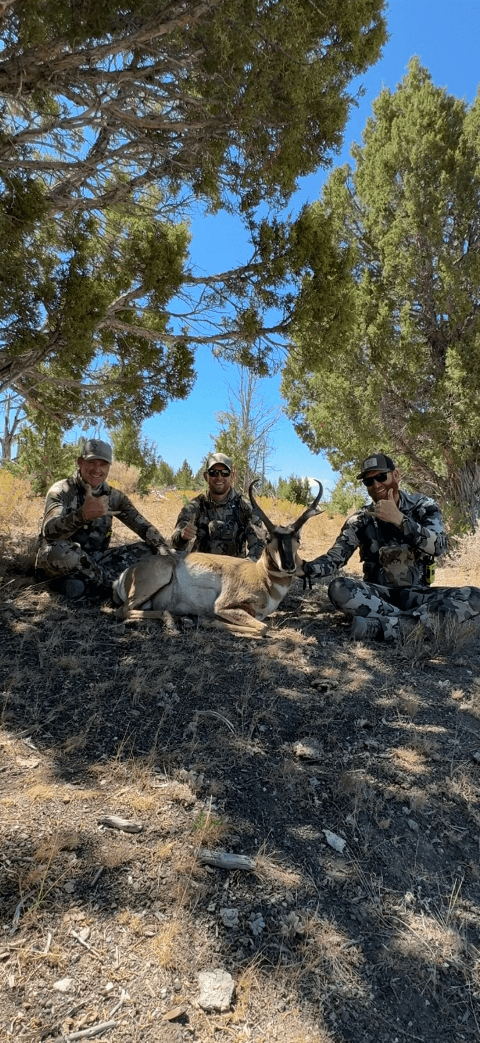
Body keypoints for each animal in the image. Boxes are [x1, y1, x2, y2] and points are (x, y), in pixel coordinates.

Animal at [112, 481, 323, 637]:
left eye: (297, 539)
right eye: (269, 539)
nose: (289, 565)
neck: (261, 576)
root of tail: (125, 574)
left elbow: (263, 625)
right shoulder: (223, 606)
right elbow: (263, 628)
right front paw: (208, 621)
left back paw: (178, 619)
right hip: (159, 576)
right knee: (122, 611)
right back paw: (177, 620)